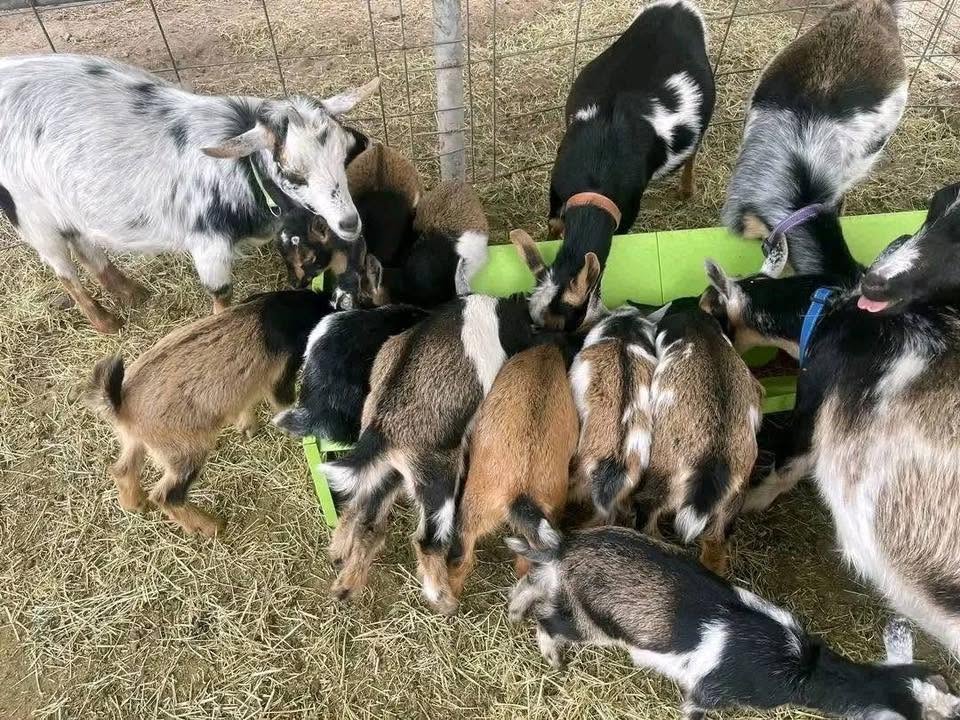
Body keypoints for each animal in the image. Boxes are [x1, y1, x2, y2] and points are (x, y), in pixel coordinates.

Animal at [0, 54, 376, 331]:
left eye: (345, 153)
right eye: (292, 172)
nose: (349, 223)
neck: (242, 171)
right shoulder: (208, 243)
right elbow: (221, 295)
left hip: (68, 209)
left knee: (85, 246)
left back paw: (133, 294)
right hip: (32, 215)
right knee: (64, 272)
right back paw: (108, 323)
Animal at [84, 290, 334, 536]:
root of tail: (120, 405)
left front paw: (248, 430)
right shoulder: (282, 370)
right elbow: (281, 399)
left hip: (134, 442)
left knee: (121, 470)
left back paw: (135, 505)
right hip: (185, 450)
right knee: (165, 495)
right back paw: (213, 527)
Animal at [508, 527, 960, 720]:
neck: (801, 667)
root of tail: (568, 545)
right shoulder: (707, 694)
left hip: (564, 583)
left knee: (535, 579)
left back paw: (514, 610)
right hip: (593, 622)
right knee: (550, 620)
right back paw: (552, 657)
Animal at [539, 0, 714, 330]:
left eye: (569, 320)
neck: (597, 176)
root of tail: (678, 7)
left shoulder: (628, 212)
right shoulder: (557, 191)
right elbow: (554, 225)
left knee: (694, 150)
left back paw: (686, 191)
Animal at [634, 305, 763, 576]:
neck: (698, 325)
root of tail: (712, 461)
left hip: (662, 477)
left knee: (648, 514)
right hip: (733, 499)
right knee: (715, 541)